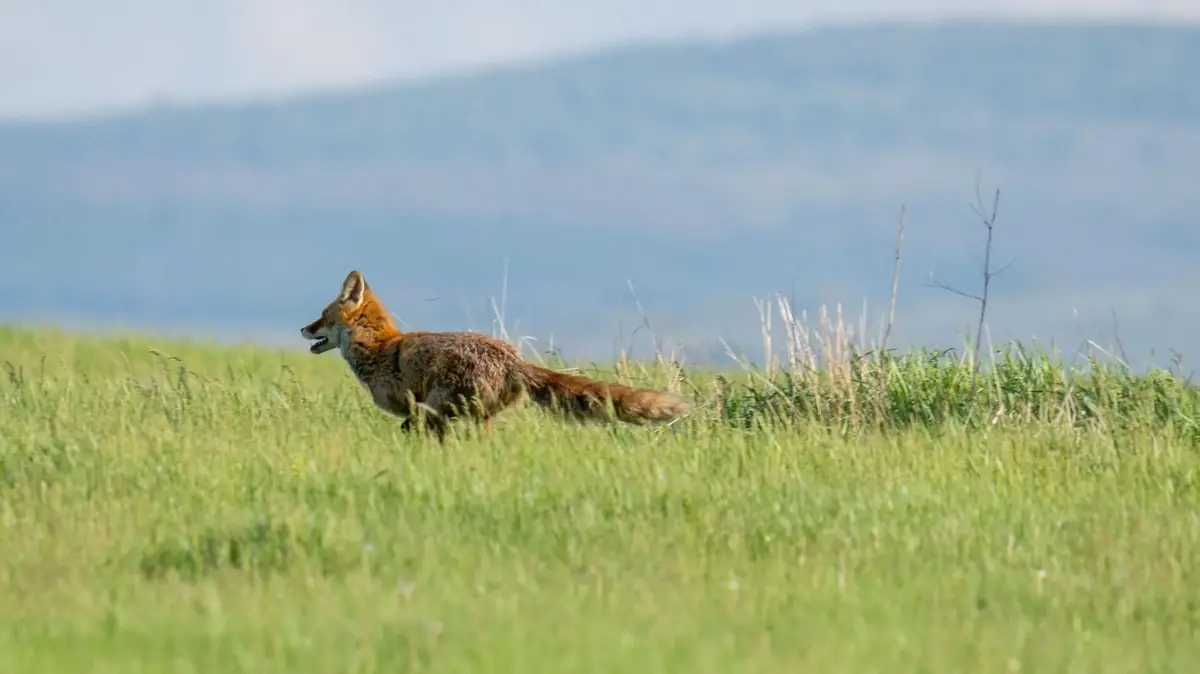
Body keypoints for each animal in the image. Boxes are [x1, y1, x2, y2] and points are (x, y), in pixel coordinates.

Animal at [300, 270, 691, 441]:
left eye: (322, 316)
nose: (303, 329)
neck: (379, 348)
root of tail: (514, 360)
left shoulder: (420, 410)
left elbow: (411, 429)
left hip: (448, 405)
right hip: (479, 415)